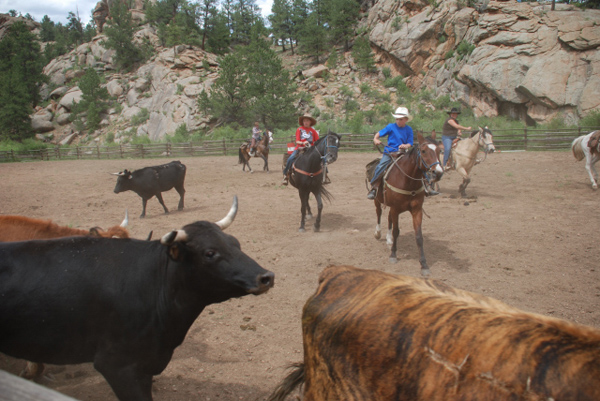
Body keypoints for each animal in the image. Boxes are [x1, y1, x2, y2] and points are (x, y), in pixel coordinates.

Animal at [370, 131, 446, 276]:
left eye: (439, 150)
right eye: (423, 151)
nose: (438, 173)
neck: (407, 180)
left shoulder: (417, 210)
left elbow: (419, 236)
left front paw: (424, 265)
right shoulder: (395, 208)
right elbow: (396, 231)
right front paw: (393, 255)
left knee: (388, 217)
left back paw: (388, 239)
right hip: (377, 200)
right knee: (378, 213)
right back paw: (378, 233)